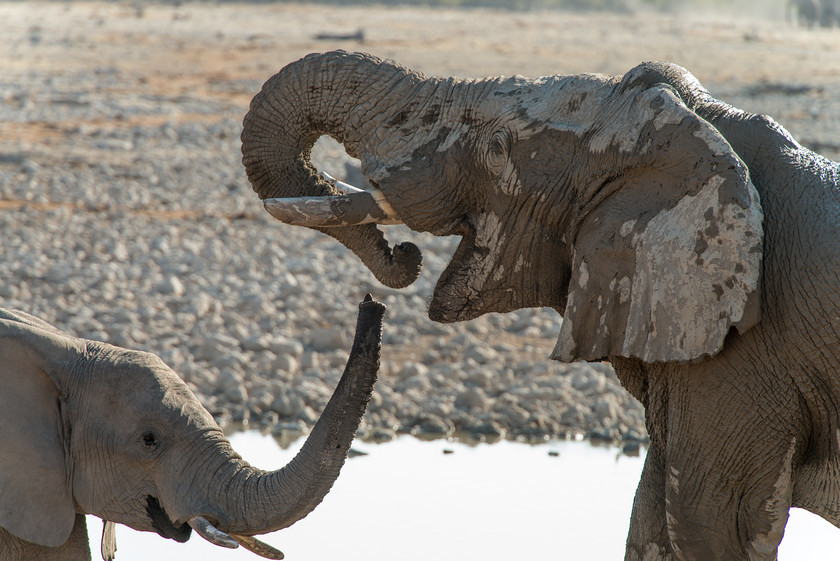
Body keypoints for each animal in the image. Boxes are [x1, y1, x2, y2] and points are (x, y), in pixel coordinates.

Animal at [241, 50, 840, 556]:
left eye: (496, 147)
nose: (400, 261)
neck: (702, 126)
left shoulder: (749, 354)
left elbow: (709, 521)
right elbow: (650, 519)